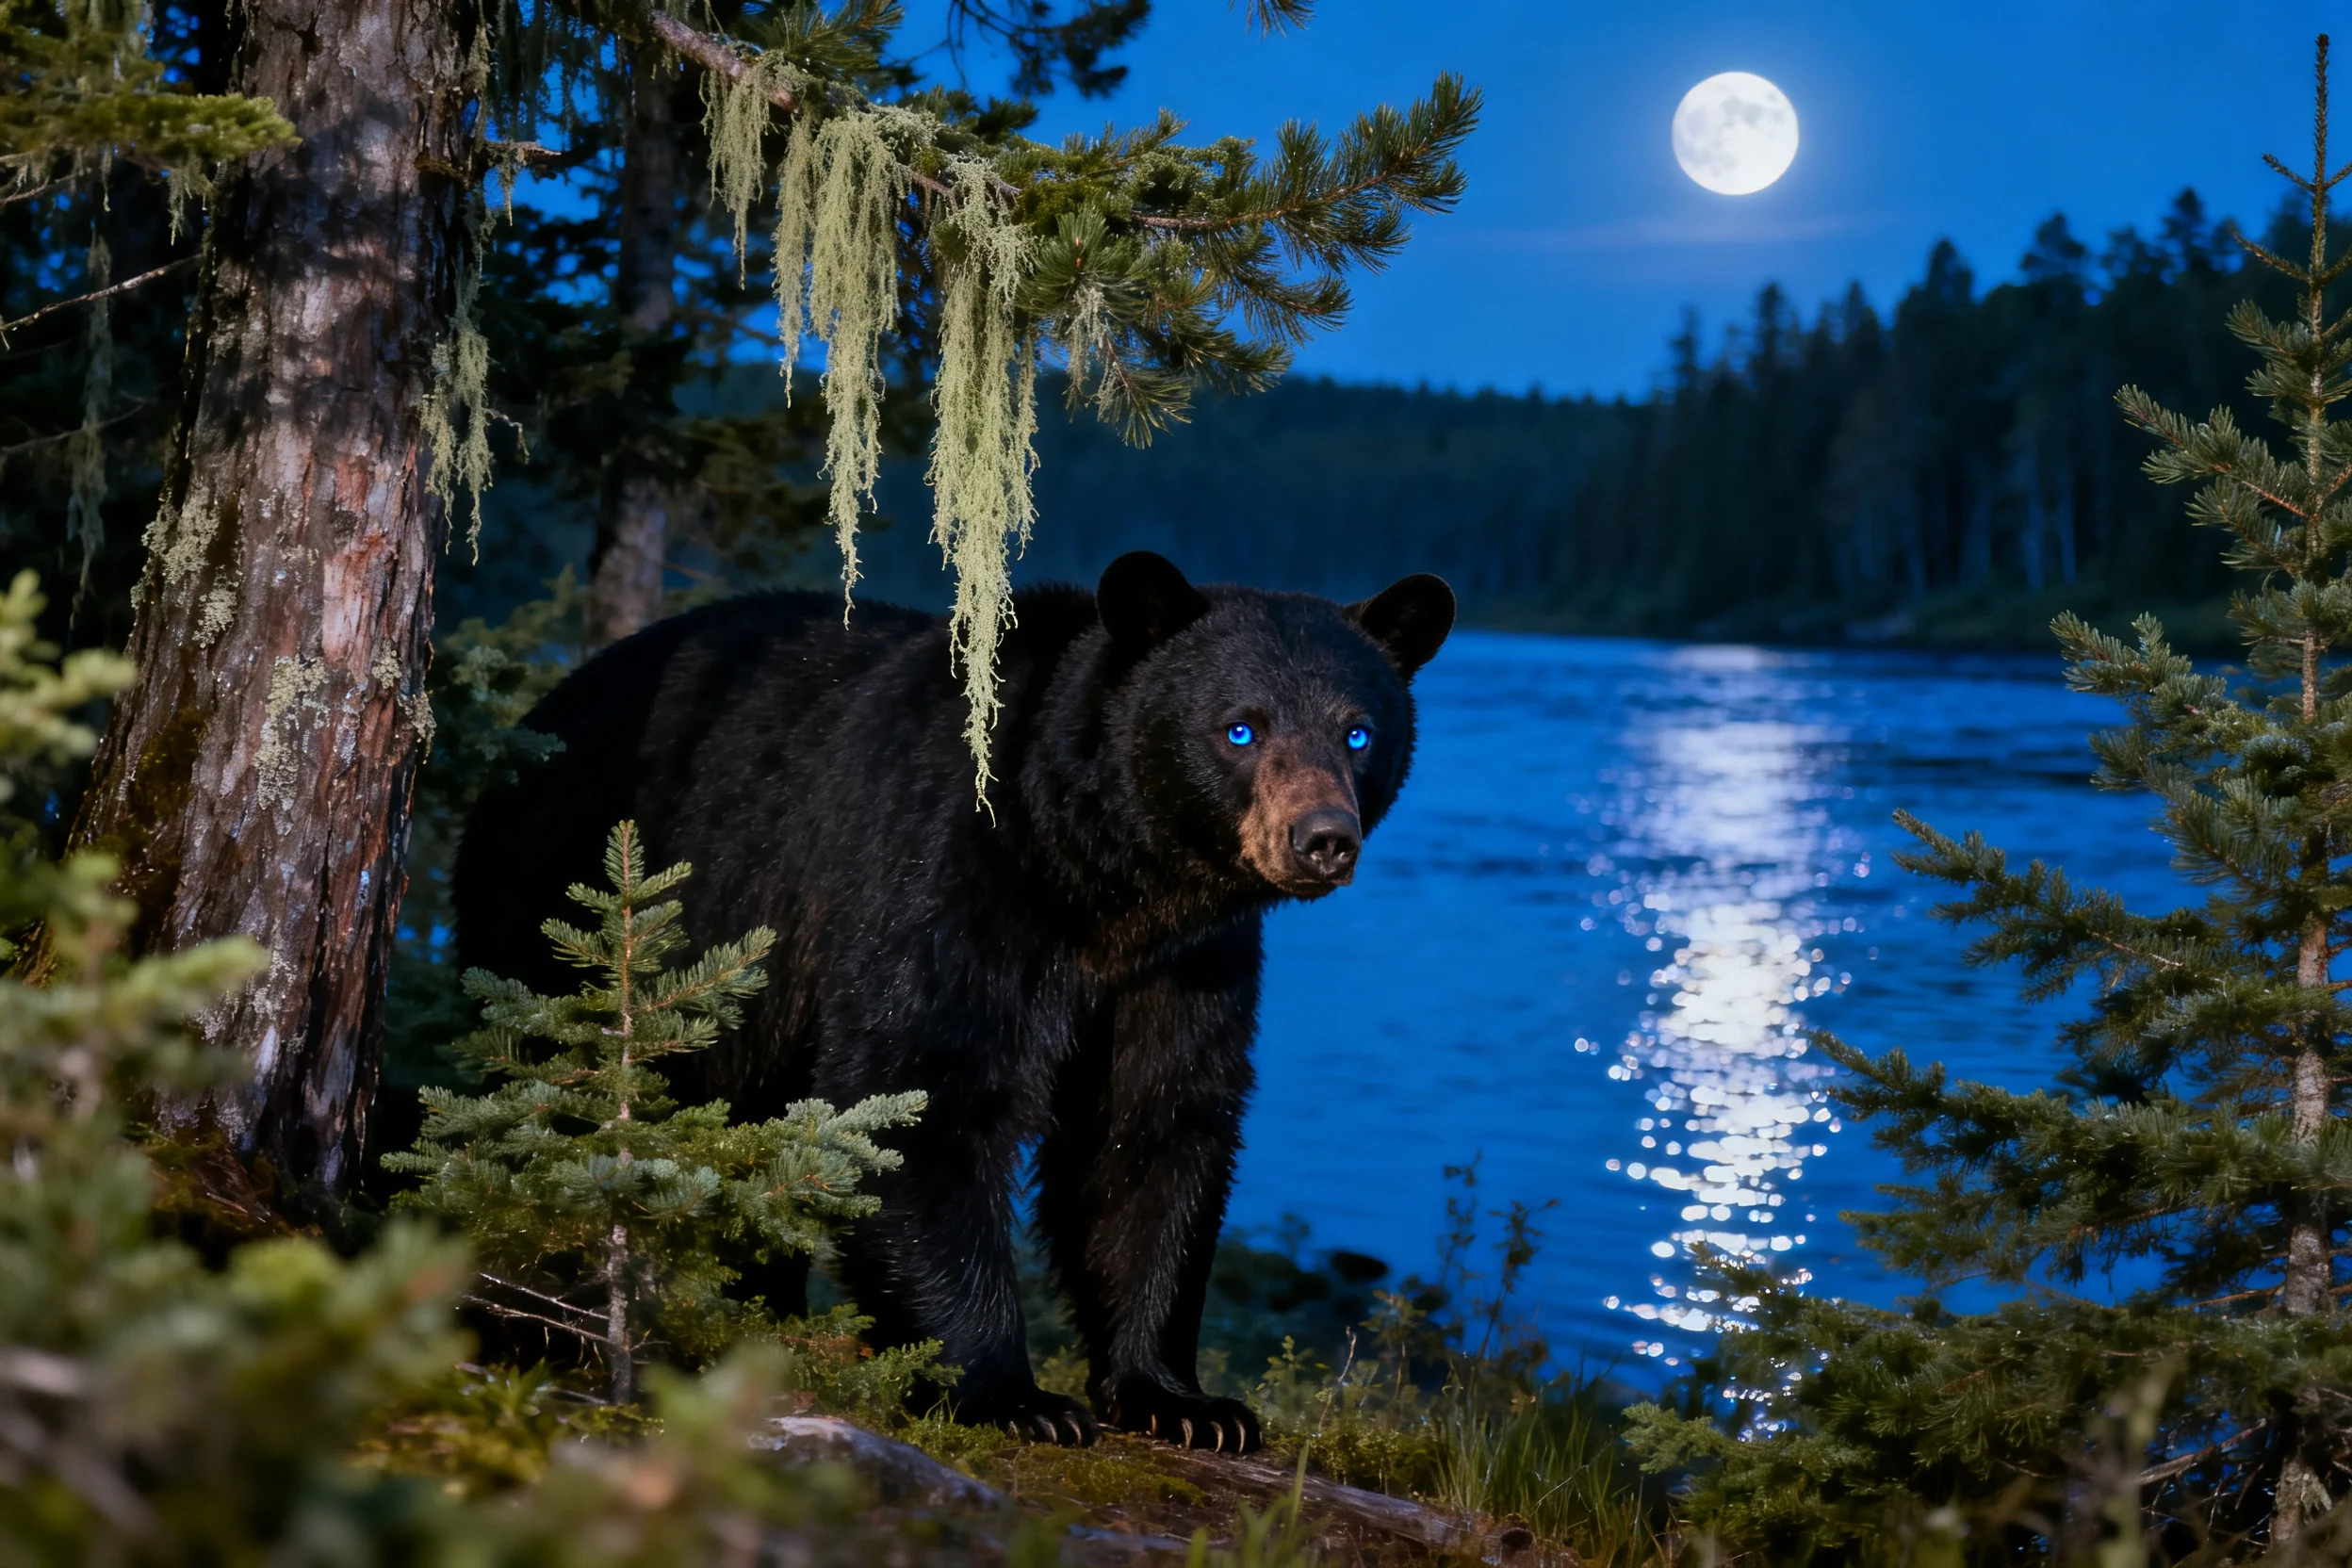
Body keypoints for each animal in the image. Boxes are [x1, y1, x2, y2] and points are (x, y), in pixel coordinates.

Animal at [453, 551, 1454, 1449]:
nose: (1322, 838)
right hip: (571, 912)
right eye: (1241, 729)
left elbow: (1155, 1128)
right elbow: (920, 1091)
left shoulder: (1181, 968)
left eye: (1359, 731)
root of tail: (540, 712)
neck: (1098, 880)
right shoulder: (943, 881)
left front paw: (1184, 1400)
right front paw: (1014, 1396)